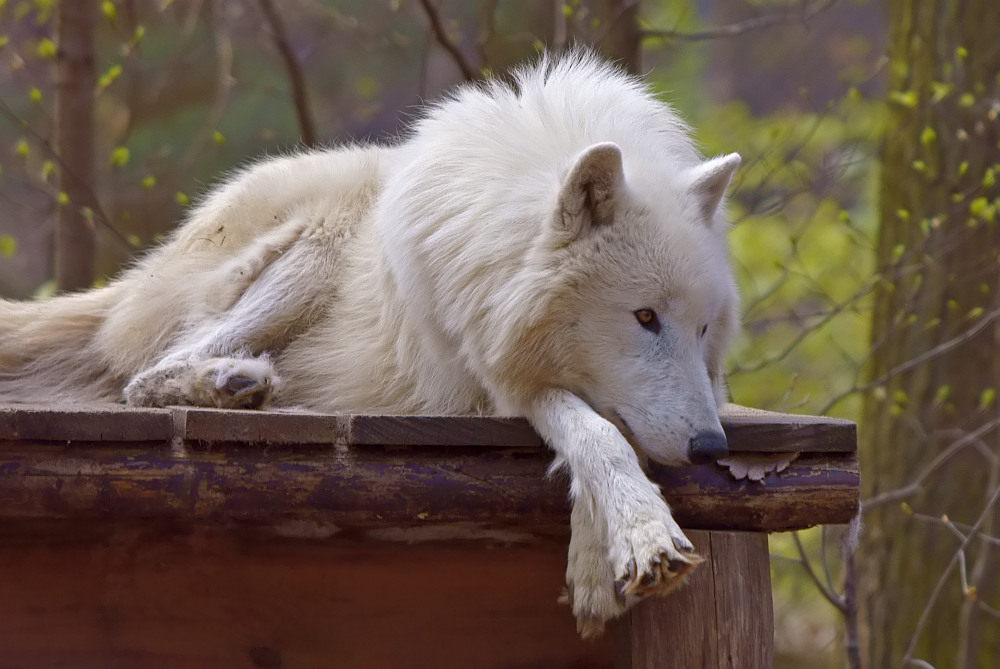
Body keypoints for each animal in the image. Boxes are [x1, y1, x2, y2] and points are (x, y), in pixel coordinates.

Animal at [1, 52, 744, 632]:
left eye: (703, 328)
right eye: (644, 317)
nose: (712, 448)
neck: (499, 238)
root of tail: (144, 272)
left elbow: (612, 432)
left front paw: (602, 564)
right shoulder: (490, 376)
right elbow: (596, 433)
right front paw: (642, 533)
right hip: (317, 249)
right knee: (149, 374)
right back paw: (235, 383)